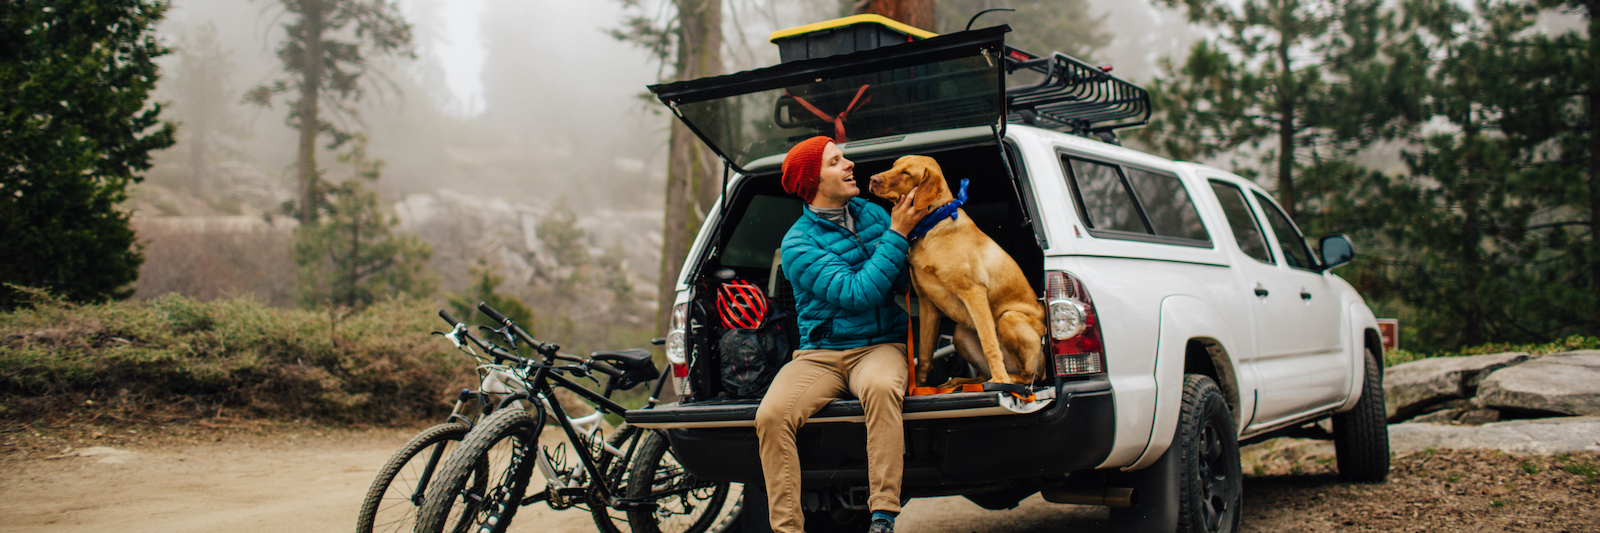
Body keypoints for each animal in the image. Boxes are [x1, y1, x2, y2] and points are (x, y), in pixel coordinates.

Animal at [870, 156, 1043, 384]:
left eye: (906, 173)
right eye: (893, 166)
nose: (872, 179)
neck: (932, 226)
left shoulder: (974, 293)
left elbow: (989, 345)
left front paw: (1000, 380)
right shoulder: (927, 303)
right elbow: (924, 355)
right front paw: (920, 387)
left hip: (1009, 318)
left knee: (1030, 376)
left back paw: (1006, 379)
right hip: (960, 333)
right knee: (981, 376)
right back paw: (958, 382)